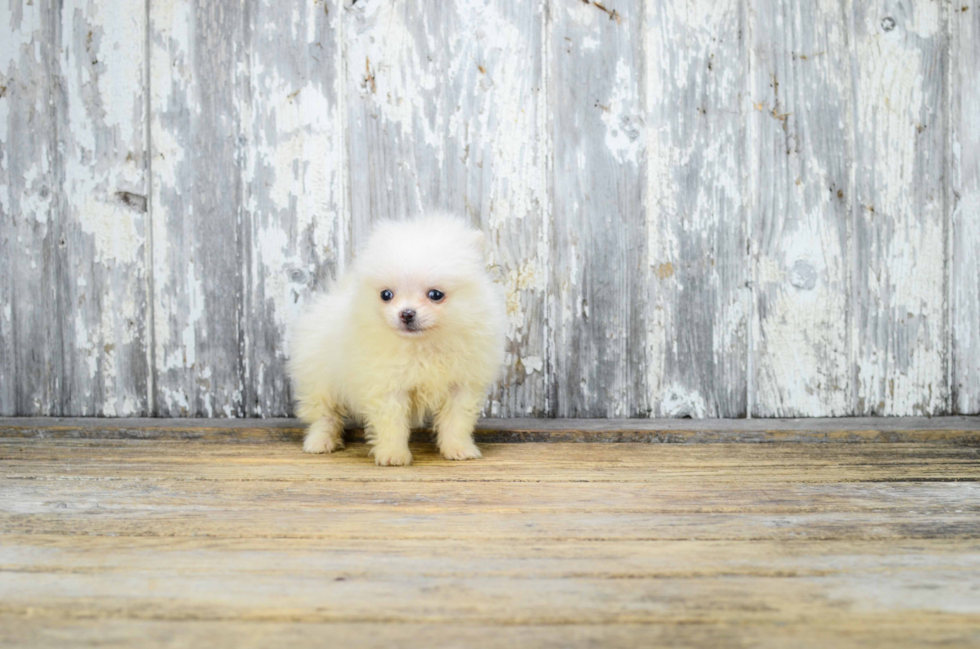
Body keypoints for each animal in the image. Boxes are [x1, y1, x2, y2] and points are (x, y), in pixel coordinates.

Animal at [288, 215, 506, 464]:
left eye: (436, 295)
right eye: (386, 295)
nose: (407, 313)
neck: (424, 345)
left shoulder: (461, 385)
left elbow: (456, 421)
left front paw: (459, 449)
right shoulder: (387, 385)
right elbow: (392, 423)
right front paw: (393, 455)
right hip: (319, 379)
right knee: (324, 414)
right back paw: (320, 442)